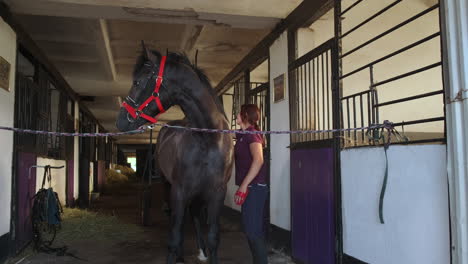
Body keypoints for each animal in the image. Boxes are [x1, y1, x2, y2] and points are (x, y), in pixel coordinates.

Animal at [116, 42, 234, 262]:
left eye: (137, 82)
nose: (120, 121)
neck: (208, 139)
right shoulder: (179, 191)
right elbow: (174, 237)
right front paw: (175, 254)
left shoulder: (216, 193)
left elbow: (214, 238)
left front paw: (207, 251)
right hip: (167, 184)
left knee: (194, 216)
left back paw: (201, 250)